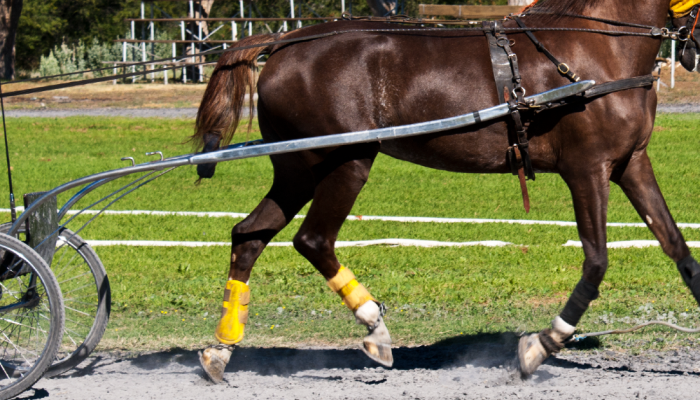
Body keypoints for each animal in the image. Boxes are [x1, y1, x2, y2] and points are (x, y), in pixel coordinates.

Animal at [194, 0, 700, 382]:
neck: (596, 45)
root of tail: (284, 43)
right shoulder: (587, 169)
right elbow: (596, 262)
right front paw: (541, 345)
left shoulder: (631, 163)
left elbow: (678, 248)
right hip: (346, 162)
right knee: (312, 239)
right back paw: (373, 326)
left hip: (298, 171)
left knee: (249, 235)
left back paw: (222, 349)